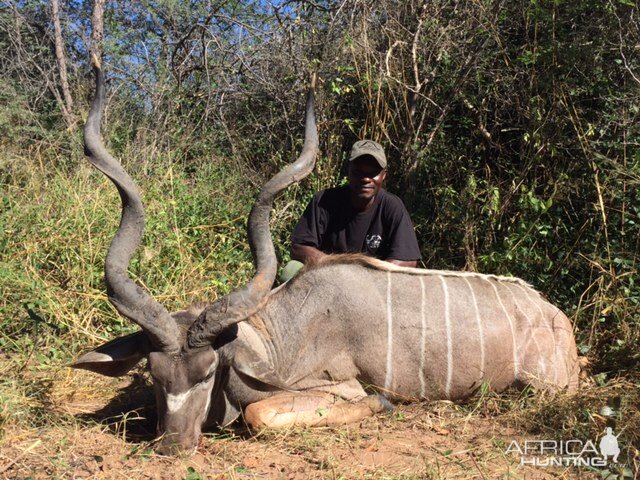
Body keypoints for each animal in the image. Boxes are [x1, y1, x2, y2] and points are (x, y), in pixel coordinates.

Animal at [74, 60, 580, 454]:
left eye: (208, 372)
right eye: (155, 374)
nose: (173, 445)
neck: (285, 334)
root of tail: (556, 317)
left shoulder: (335, 385)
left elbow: (259, 415)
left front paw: (381, 403)